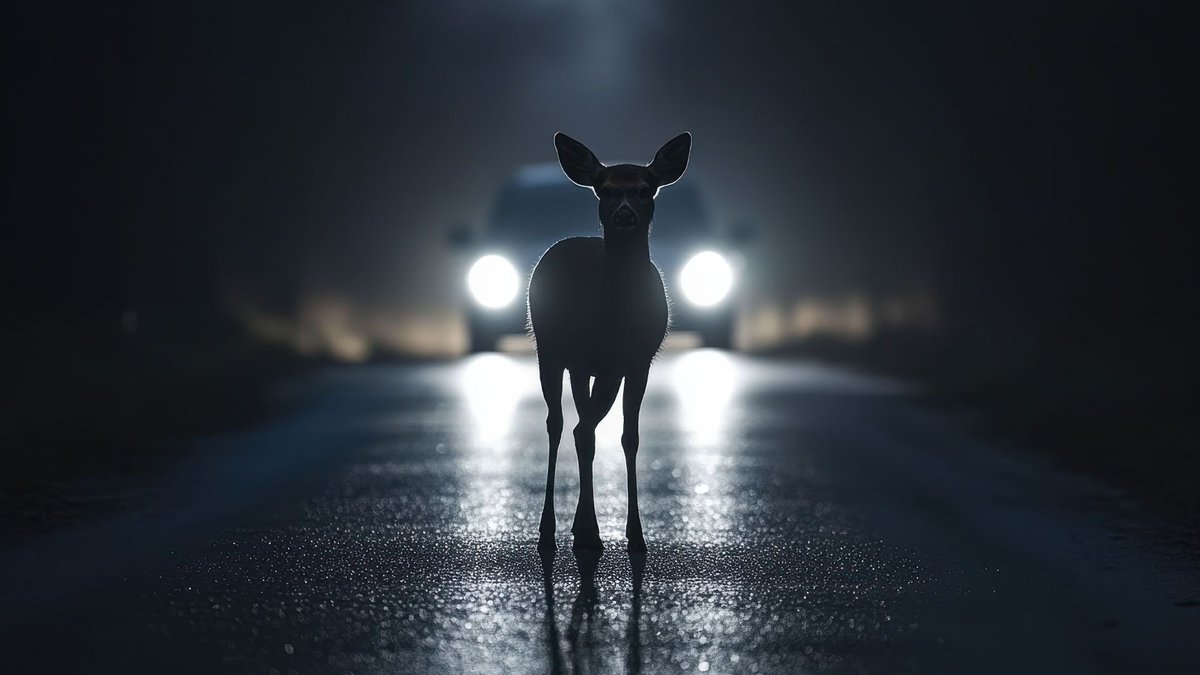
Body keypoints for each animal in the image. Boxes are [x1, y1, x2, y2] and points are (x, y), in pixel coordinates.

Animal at [528, 131, 691, 554]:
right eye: (603, 188)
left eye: (646, 188)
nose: (624, 213)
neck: (612, 319)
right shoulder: (587, 358)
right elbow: (583, 432)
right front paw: (589, 530)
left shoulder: (635, 362)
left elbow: (629, 437)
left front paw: (636, 536)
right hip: (549, 351)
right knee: (558, 424)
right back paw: (551, 530)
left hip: (589, 368)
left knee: (581, 426)